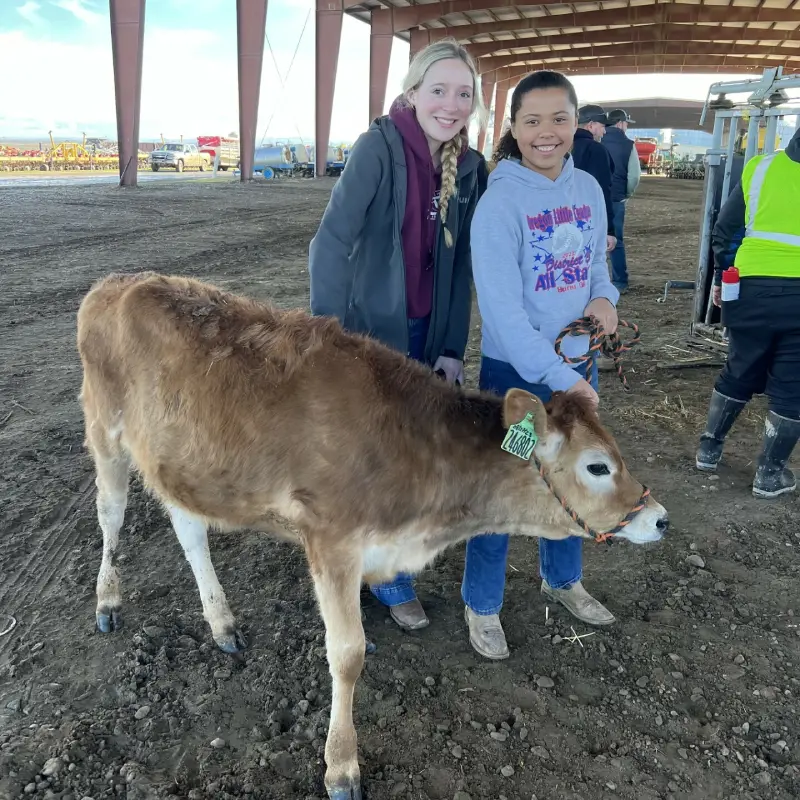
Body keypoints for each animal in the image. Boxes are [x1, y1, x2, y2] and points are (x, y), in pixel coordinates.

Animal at [76, 272, 668, 800]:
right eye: (597, 467)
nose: (658, 517)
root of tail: (115, 282)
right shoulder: (331, 540)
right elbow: (347, 653)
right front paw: (341, 768)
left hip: (182, 463)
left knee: (190, 529)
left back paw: (222, 622)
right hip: (104, 430)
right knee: (111, 513)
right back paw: (107, 603)